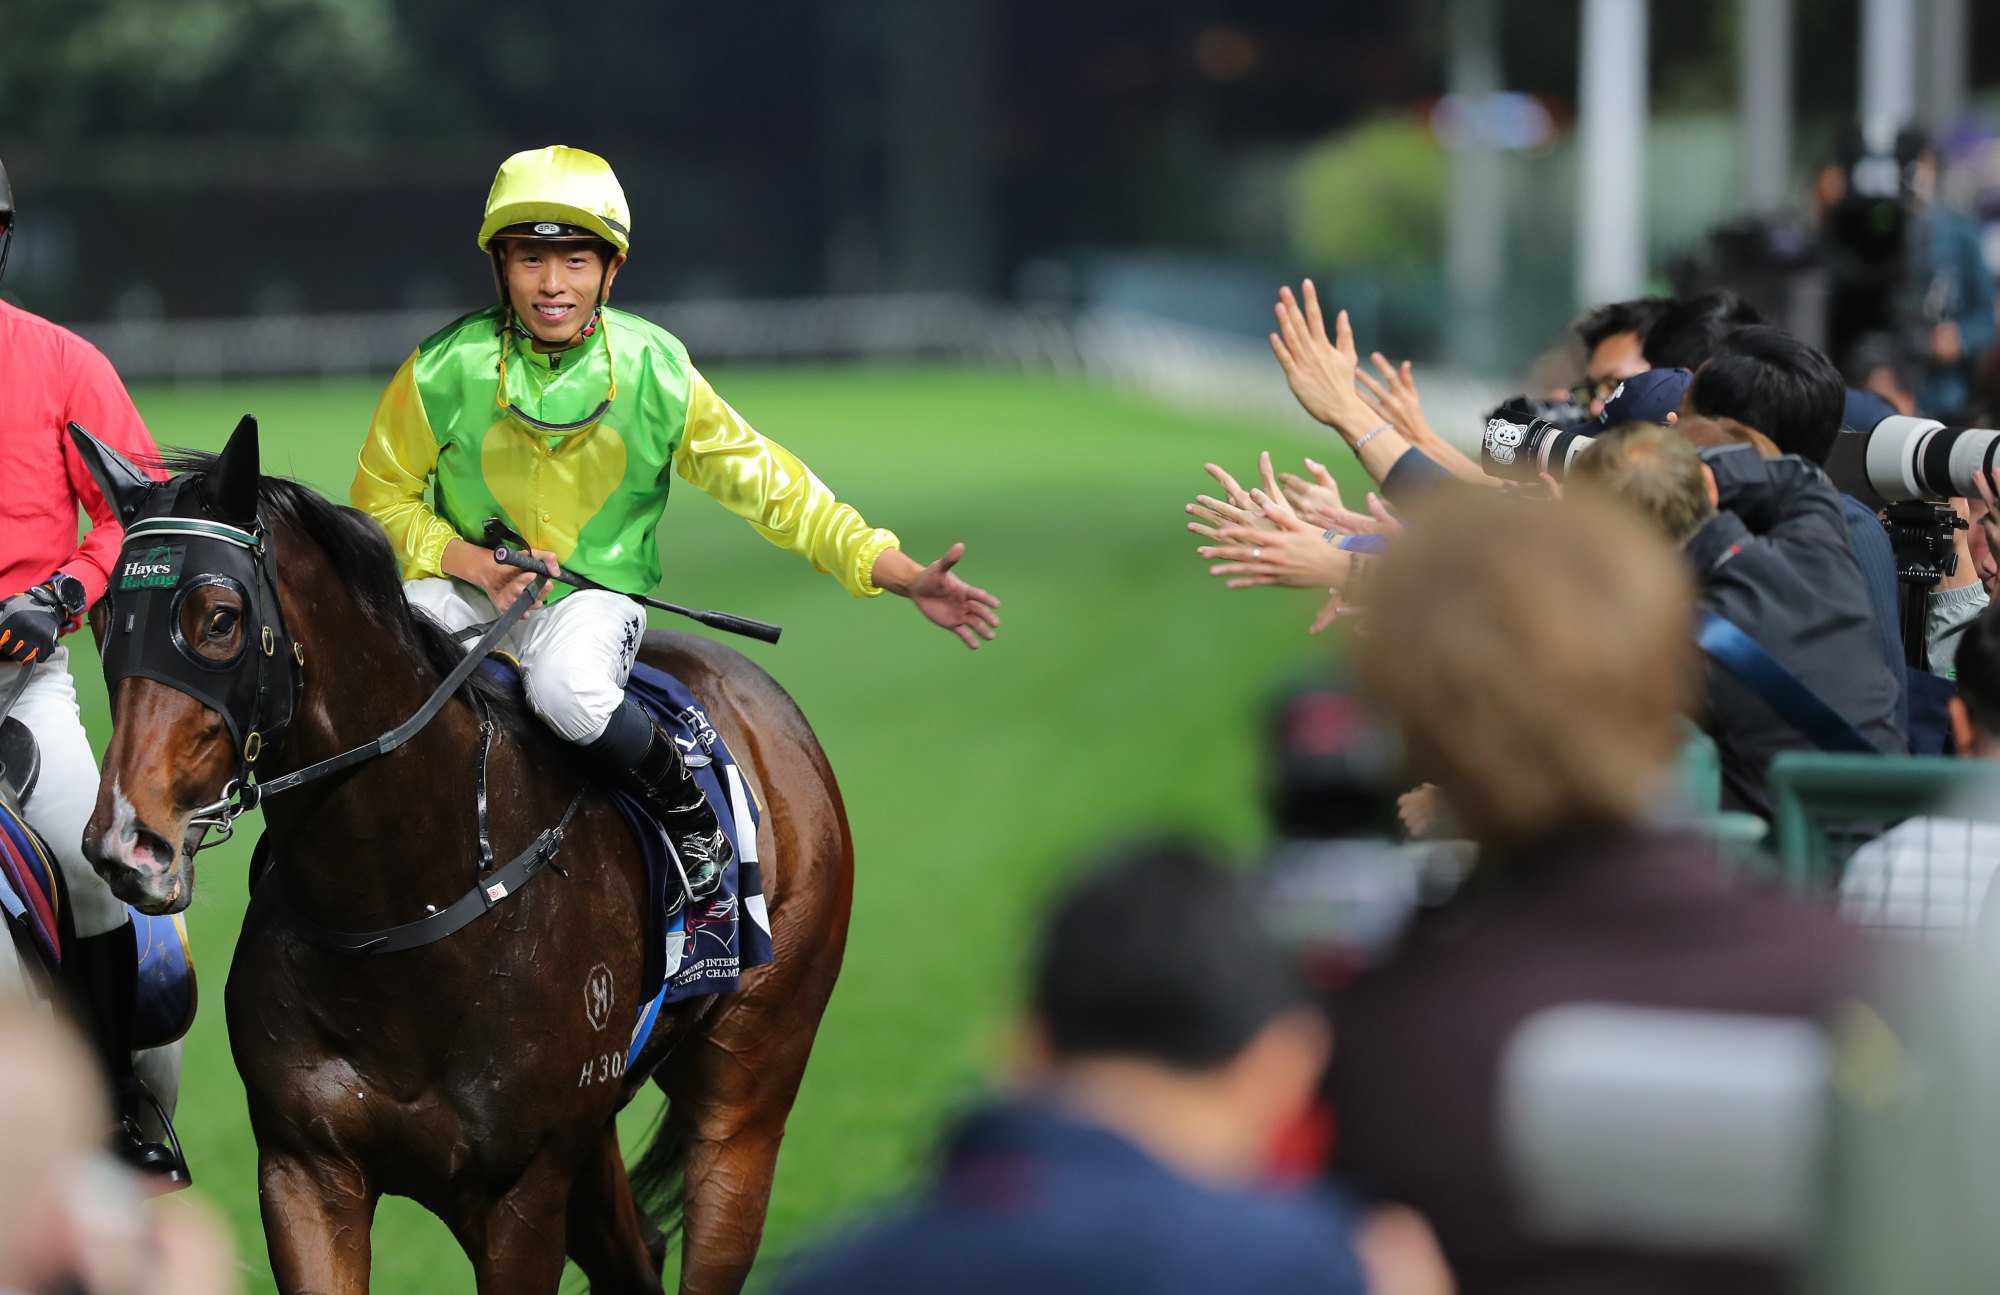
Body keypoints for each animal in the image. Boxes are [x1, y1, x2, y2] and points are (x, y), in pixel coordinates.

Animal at [68, 419, 852, 1287]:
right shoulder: (304, 1172)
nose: (126, 841)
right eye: (106, 619)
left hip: (746, 1088)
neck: (404, 910)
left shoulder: (520, 1192)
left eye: (217, 618)